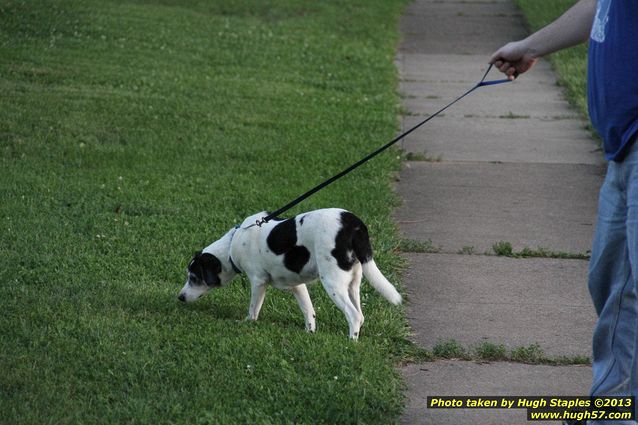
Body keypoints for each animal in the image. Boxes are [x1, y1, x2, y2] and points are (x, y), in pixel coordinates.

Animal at [178, 207, 402, 340]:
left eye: (194, 278)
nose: (180, 297)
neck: (233, 245)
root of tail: (354, 225)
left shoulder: (258, 282)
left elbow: (253, 310)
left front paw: (247, 323)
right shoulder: (297, 285)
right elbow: (308, 311)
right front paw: (310, 333)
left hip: (333, 283)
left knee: (354, 315)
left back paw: (350, 343)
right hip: (353, 283)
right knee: (360, 315)